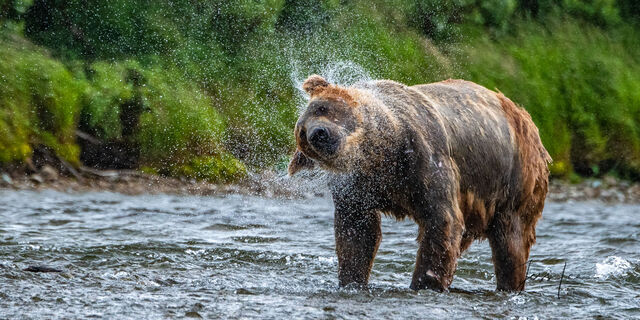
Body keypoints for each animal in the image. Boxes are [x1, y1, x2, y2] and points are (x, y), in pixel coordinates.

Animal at [288, 75, 552, 292]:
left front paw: (423, 283)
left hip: (514, 179)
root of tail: (526, 118)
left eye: (322, 108)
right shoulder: (358, 186)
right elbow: (357, 233)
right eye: (302, 136)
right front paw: (352, 280)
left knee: (511, 243)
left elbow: (442, 222)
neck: (384, 154)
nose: (317, 134)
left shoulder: (424, 157)